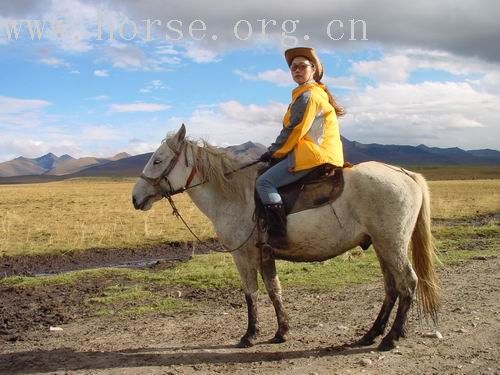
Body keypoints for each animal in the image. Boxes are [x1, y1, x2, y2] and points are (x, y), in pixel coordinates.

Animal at [132, 125, 438, 352]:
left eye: (157, 160)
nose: (135, 197)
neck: (236, 195)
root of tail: (407, 174)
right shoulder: (265, 255)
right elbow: (274, 290)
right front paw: (282, 331)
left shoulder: (243, 256)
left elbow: (251, 293)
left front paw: (249, 336)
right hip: (381, 246)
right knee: (391, 287)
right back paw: (371, 334)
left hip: (392, 244)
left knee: (408, 283)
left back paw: (391, 338)